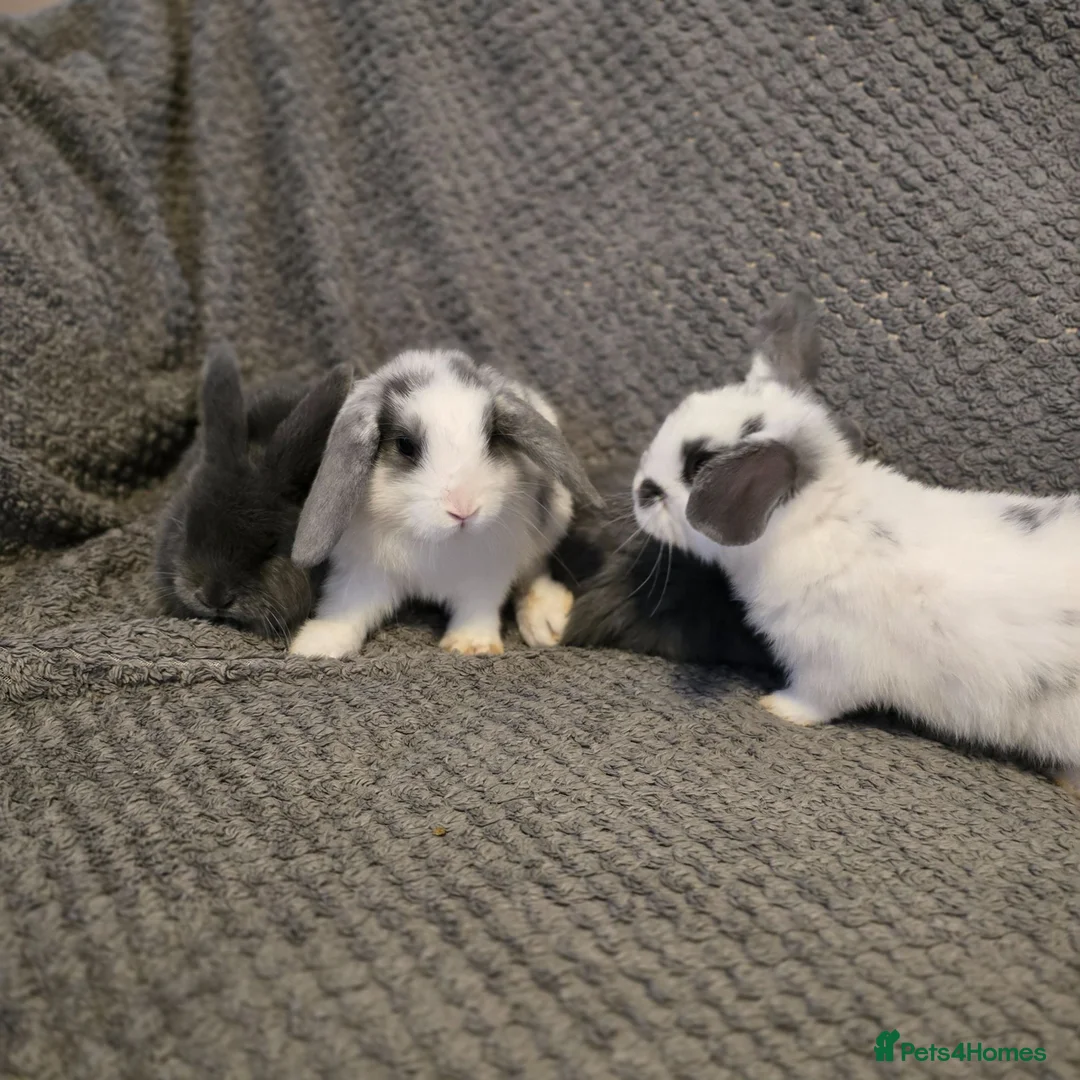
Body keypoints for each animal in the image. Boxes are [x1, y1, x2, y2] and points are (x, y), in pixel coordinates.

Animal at [287, 349, 602, 659]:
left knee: (534, 569)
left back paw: (546, 621)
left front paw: (472, 645)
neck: (435, 541)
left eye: (492, 437)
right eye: (405, 445)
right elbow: (348, 606)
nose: (464, 510)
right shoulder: (362, 570)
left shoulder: (488, 571)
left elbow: (478, 606)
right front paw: (316, 645)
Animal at [631, 289, 1080, 793]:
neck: (814, 518)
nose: (639, 491)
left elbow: (818, 699)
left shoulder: (834, 663)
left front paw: (777, 707)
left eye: (698, 465)